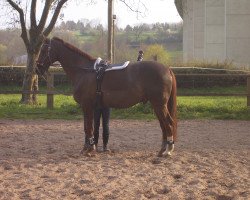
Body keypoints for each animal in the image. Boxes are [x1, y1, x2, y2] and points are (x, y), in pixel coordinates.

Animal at [36, 37, 178, 156]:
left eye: (43, 50)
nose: (37, 69)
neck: (85, 71)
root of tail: (167, 69)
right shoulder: (89, 107)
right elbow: (87, 127)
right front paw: (87, 147)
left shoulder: (87, 105)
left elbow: (88, 127)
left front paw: (89, 149)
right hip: (157, 105)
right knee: (163, 125)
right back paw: (162, 150)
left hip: (159, 105)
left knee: (169, 123)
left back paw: (168, 150)